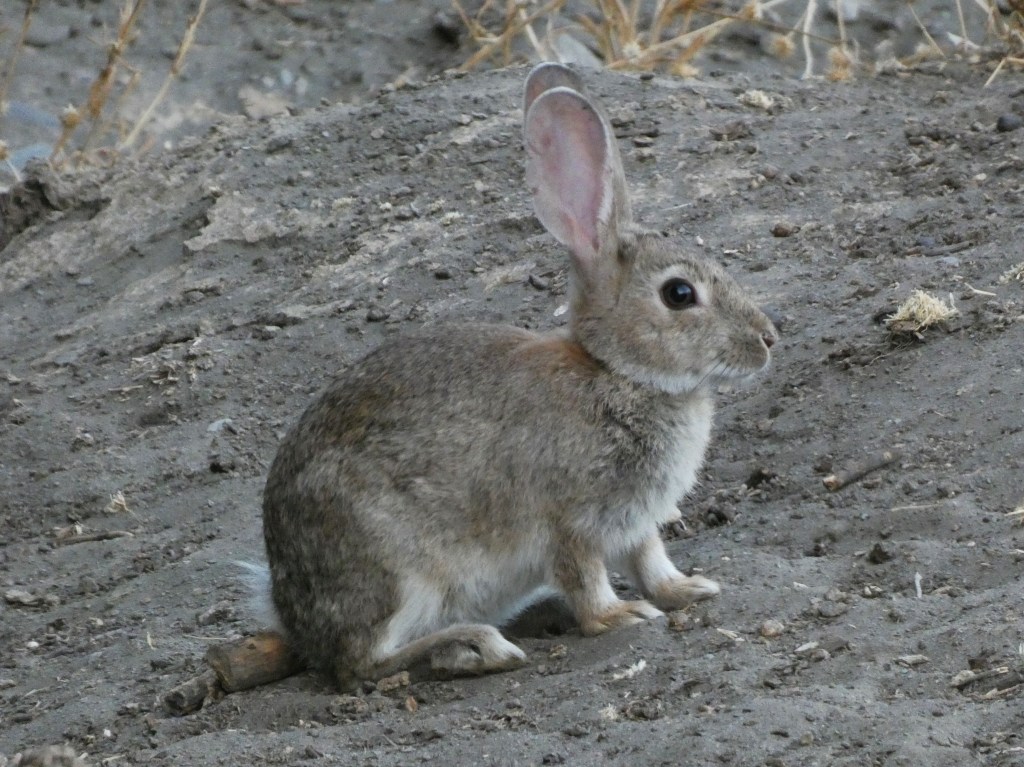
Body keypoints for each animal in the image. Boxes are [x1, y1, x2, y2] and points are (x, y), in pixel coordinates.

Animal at [261, 62, 778, 689]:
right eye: (679, 294)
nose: (768, 340)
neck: (618, 374)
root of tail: (293, 615)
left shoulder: (635, 523)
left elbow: (650, 558)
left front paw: (687, 589)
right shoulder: (568, 521)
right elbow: (584, 575)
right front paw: (620, 616)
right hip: (393, 568)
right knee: (360, 662)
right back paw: (471, 646)